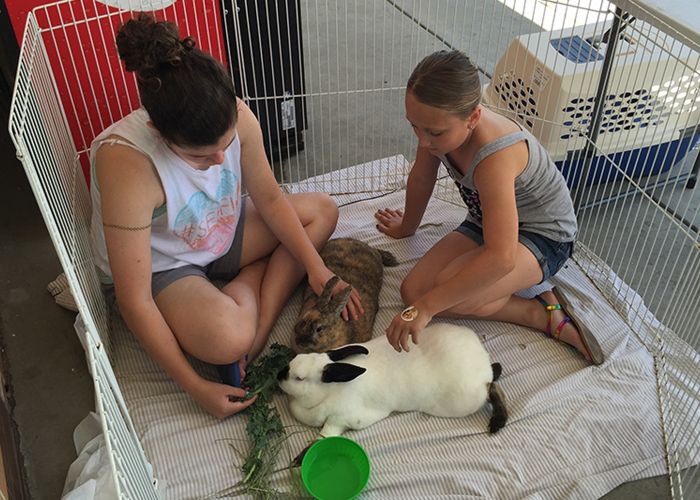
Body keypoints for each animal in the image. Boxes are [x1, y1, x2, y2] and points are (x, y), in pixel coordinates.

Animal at [278, 322, 508, 436]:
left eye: (299, 378)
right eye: (294, 360)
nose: (279, 376)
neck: (329, 388)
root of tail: (481, 363)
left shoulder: (341, 418)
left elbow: (325, 435)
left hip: (465, 399)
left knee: (493, 389)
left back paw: (497, 422)